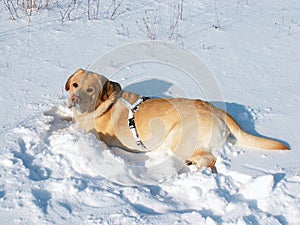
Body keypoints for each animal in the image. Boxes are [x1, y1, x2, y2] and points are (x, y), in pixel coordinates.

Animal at [64, 68, 290, 172]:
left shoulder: (89, 131)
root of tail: (215, 109)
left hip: (177, 138)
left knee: (210, 159)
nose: (74, 100)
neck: (105, 102)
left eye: (90, 90)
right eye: (75, 85)